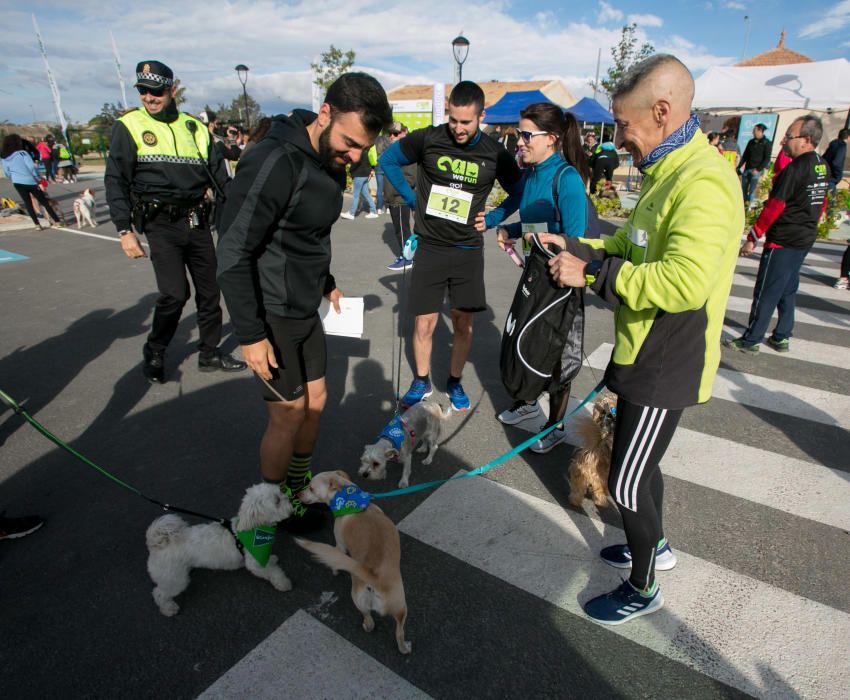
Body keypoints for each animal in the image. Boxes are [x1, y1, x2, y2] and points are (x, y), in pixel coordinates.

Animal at [146, 484, 292, 616]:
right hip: (175, 579)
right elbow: (274, 572)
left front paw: (272, 559)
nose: (289, 499)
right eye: (277, 501)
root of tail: (156, 544)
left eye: (280, 491)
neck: (254, 529)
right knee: (159, 593)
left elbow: (269, 563)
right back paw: (168, 609)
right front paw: (283, 583)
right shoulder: (254, 563)